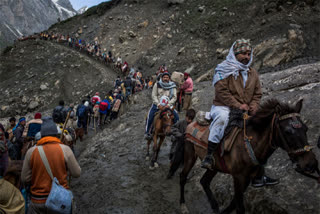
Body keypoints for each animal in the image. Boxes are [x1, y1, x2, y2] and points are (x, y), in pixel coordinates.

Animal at [176, 100, 318, 214]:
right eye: (288, 131)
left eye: (306, 128)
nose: (310, 164)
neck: (250, 144)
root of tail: (191, 124)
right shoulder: (238, 178)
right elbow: (239, 207)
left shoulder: (246, 179)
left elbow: (234, 203)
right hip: (190, 156)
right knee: (183, 177)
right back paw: (182, 205)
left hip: (214, 167)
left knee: (204, 181)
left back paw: (215, 206)